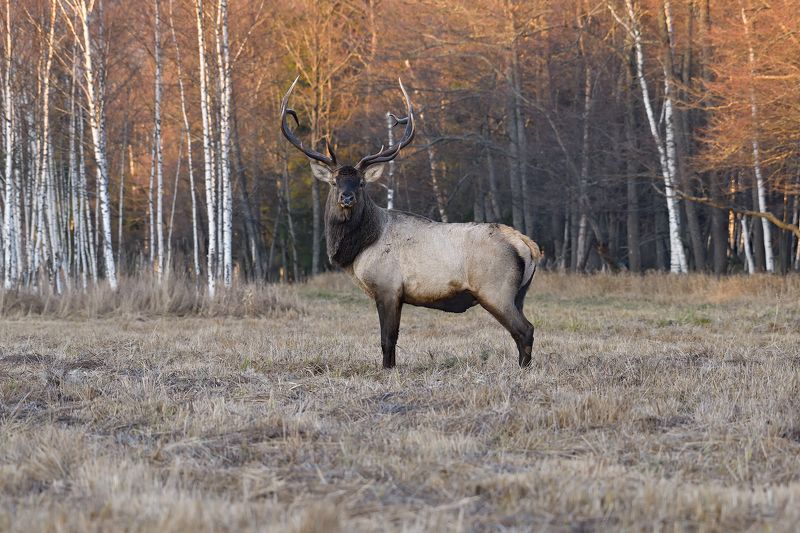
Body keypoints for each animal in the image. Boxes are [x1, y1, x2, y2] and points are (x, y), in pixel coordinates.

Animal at [280, 77, 541, 369]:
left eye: (361, 183)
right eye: (335, 182)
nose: (347, 197)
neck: (360, 248)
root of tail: (528, 245)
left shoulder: (388, 287)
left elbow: (388, 339)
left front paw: (387, 369)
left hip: (496, 290)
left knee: (525, 330)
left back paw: (521, 369)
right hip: (519, 294)